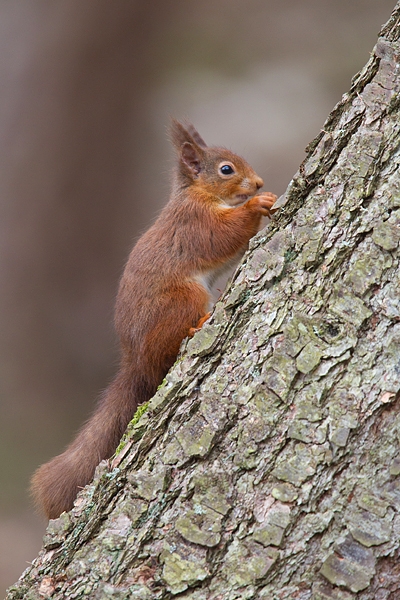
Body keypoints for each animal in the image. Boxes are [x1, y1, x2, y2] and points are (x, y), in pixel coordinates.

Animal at [31, 119, 276, 516]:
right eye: (226, 169)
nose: (258, 183)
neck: (197, 194)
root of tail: (135, 363)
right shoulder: (194, 223)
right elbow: (221, 236)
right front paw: (259, 204)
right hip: (183, 299)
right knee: (168, 349)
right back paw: (197, 326)